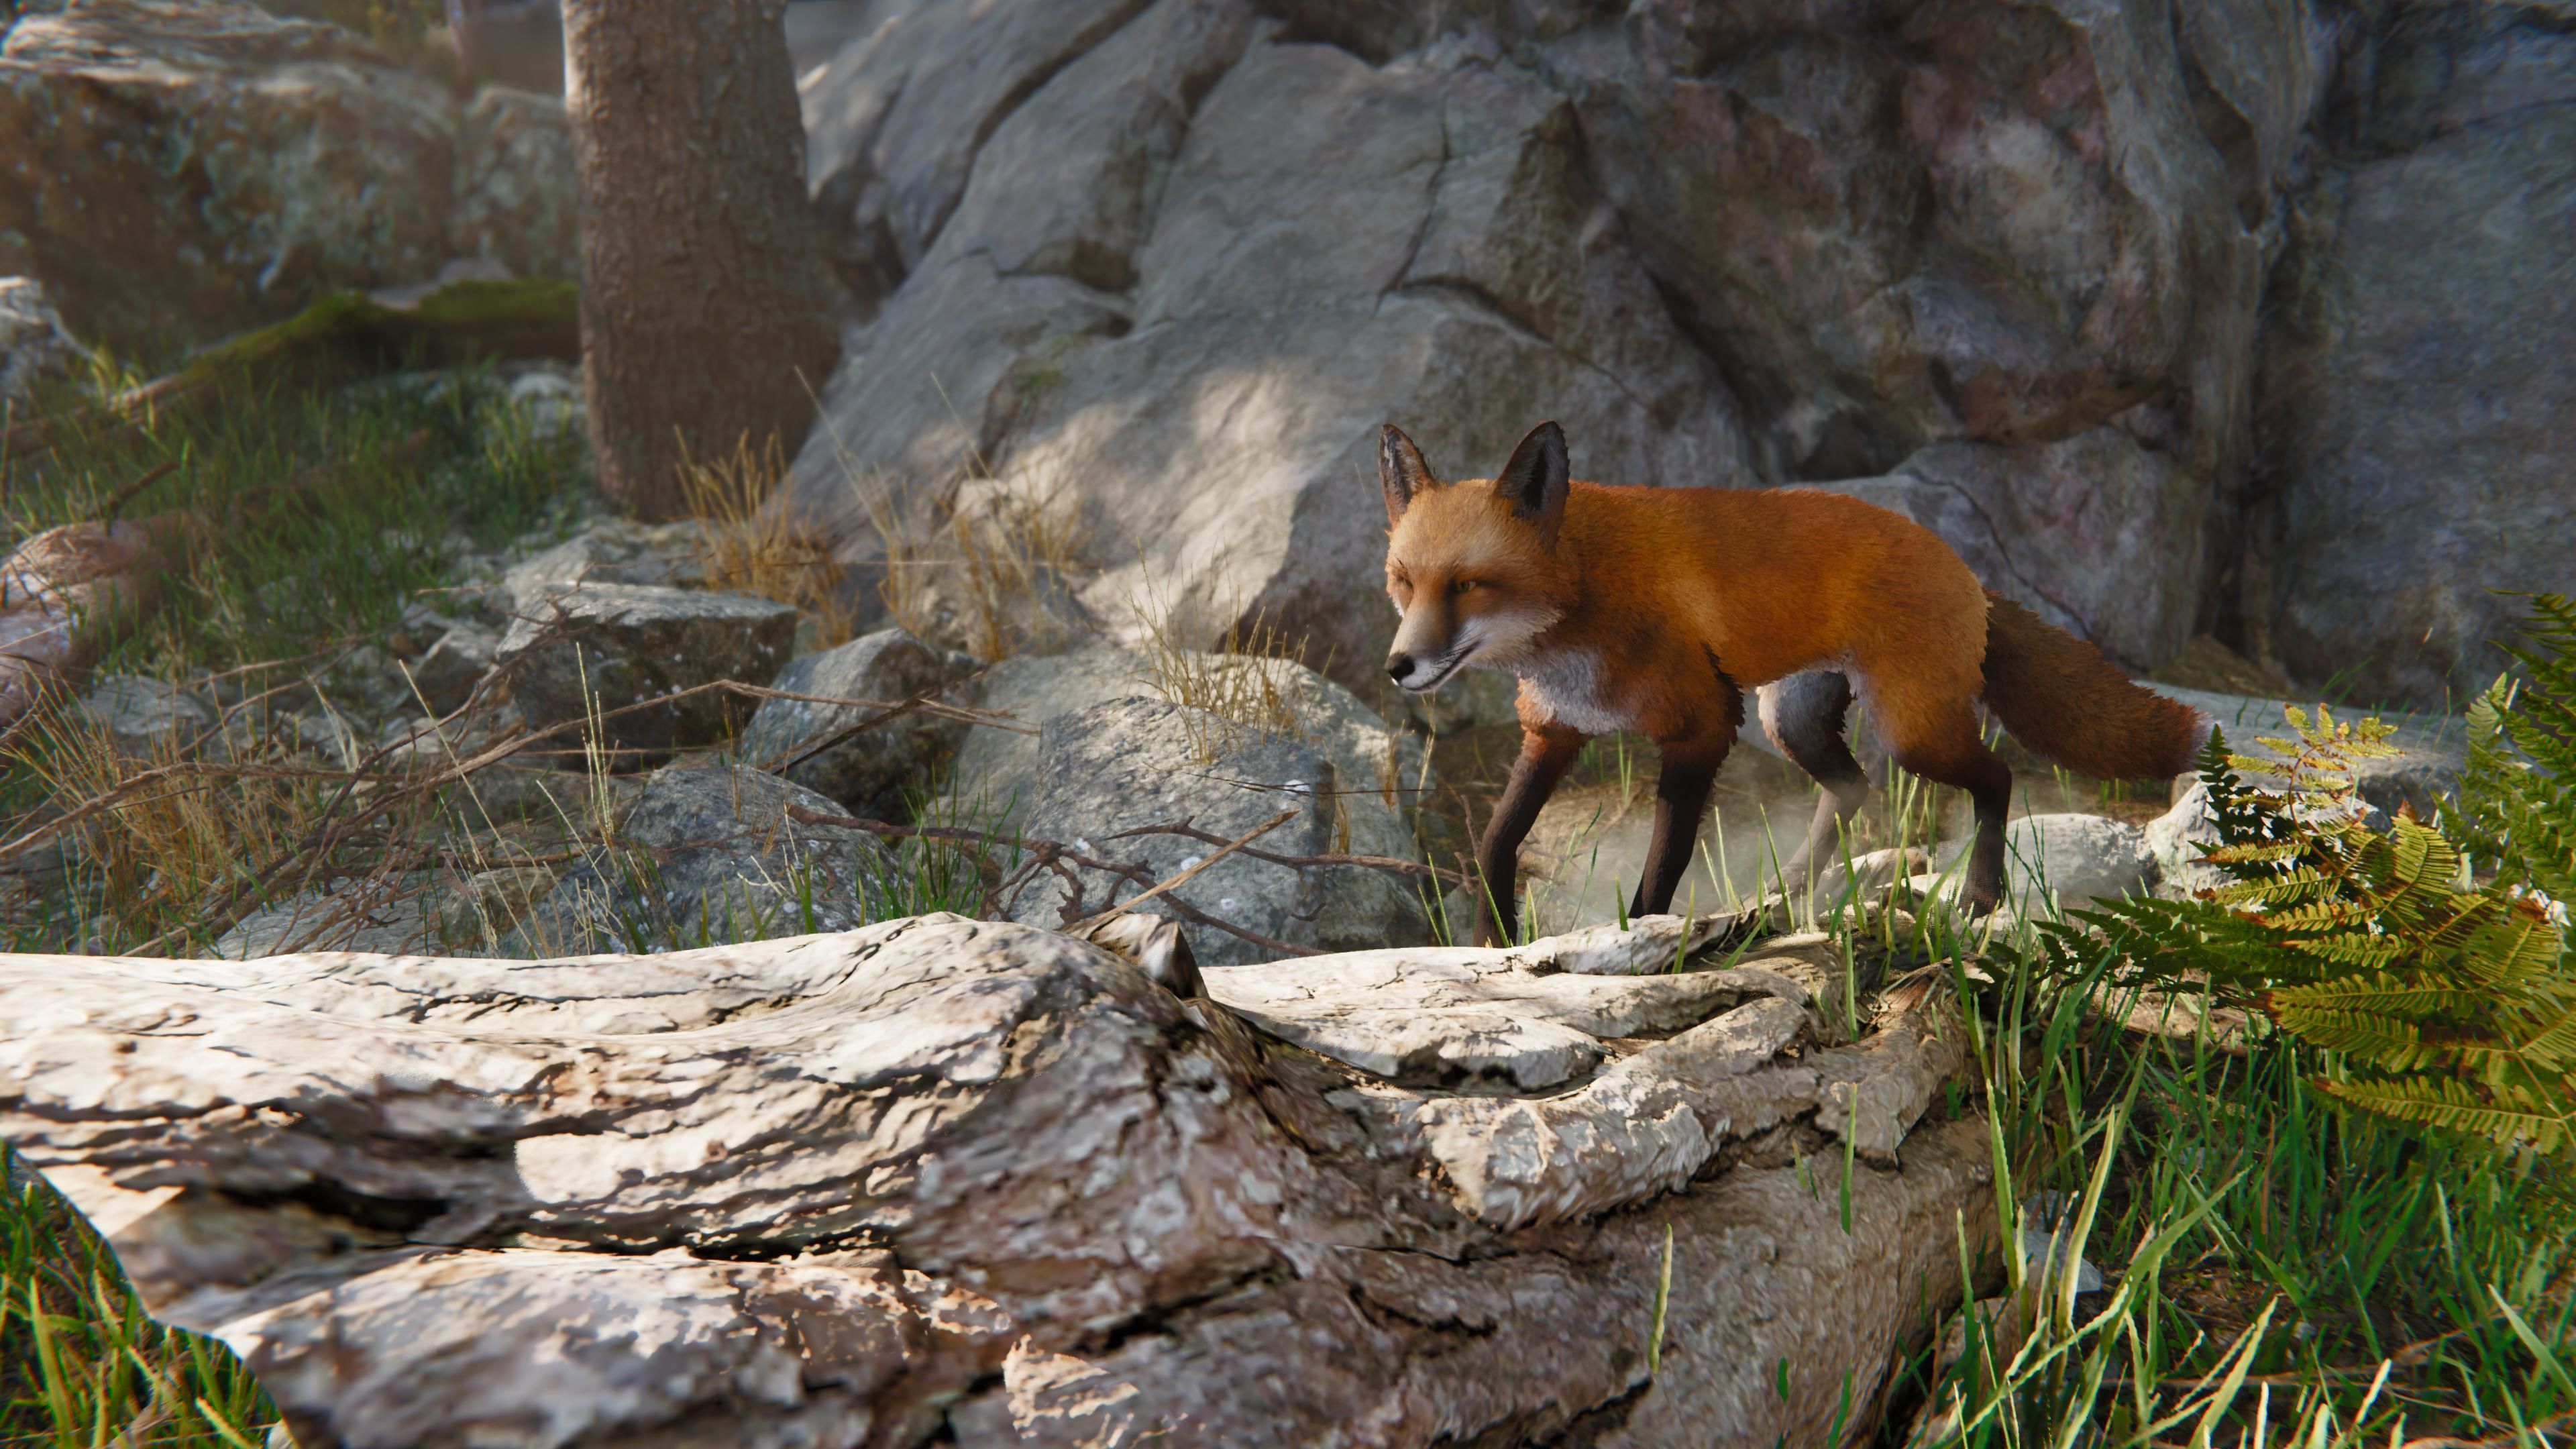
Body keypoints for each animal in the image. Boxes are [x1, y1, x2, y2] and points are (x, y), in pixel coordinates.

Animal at [1377, 419, 2213, 946]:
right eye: (1404, 581)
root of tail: (1970, 574)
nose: (1397, 667)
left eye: (1468, 586)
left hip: (1909, 732)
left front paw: (1643, 938)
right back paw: (1780, 903)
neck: (1584, 594)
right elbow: (1496, 840)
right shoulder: (1554, 727)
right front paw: (1488, 941)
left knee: (1995, 776)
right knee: (1851, 791)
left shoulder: (1701, 727)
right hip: (1794, 721)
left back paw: (1980, 896)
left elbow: (1663, 865)